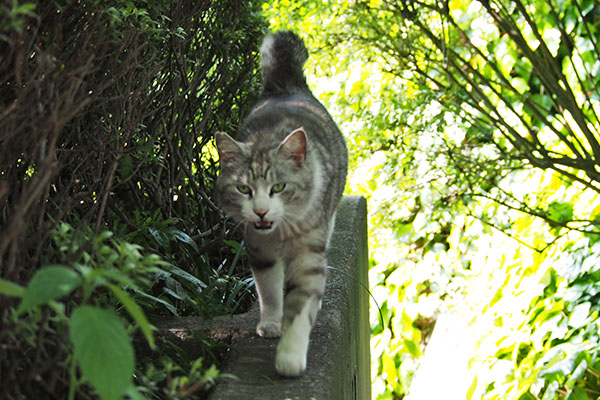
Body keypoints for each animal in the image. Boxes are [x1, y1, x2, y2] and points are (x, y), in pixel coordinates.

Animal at [214, 30, 346, 376]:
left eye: (279, 186)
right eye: (243, 188)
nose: (260, 210)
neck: (281, 233)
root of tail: (286, 85)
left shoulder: (309, 253)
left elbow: (301, 307)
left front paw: (290, 356)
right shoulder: (259, 249)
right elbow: (269, 291)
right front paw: (272, 323)